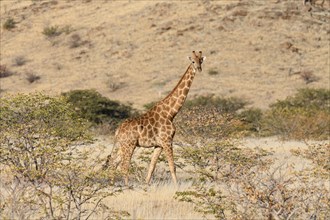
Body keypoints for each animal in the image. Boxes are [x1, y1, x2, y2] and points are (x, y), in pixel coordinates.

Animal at [107, 50, 205, 185]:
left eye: (201, 60)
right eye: (193, 61)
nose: (199, 69)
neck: (170, 113)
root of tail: (118, 130)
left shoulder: (159, 145)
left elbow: (152, 166)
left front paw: (146, 184)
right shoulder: (167, 140)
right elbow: (172, 166)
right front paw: (176, 186)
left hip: (122, 144)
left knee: (113, 162)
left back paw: (113, 185)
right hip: (129, 144)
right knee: (124, 166)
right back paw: (126, 186)